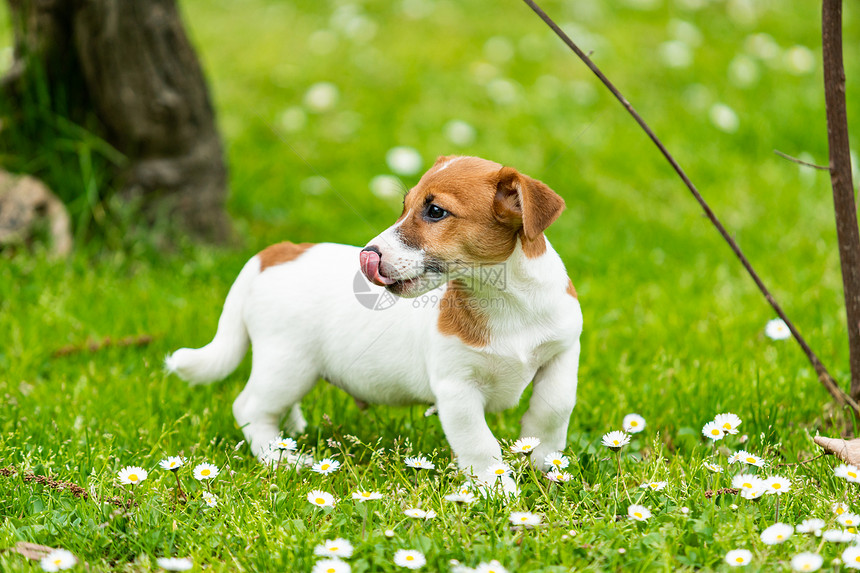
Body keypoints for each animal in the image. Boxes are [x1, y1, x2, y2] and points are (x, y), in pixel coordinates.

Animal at [166, 155, 584, 492]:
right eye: (404, 206)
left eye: (435, 211)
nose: (367, 255)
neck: (505, 300)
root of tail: (275, 252)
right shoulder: (457, 389)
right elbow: (480, 444)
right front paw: (497, 491)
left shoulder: (563, 353)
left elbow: (555, 406)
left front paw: (544, 461)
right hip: (287, 365)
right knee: (250, 409)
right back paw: (284, 458)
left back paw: (292, 435)